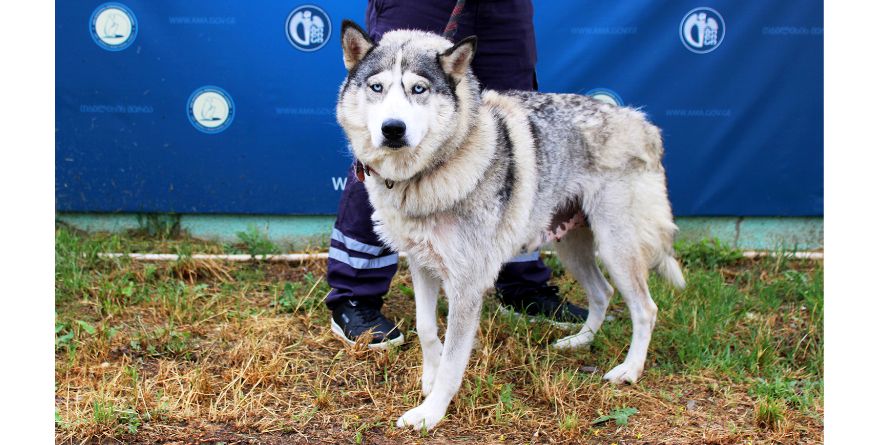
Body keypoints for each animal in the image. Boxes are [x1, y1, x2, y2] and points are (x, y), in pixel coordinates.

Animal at [334, 21, 688, 430]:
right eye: (377, 88)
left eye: (418, 90)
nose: (393, 129)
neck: (431, 172)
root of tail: (644, 124)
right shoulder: (422, 265)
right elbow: (425, 330)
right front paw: (429, 378)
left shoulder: (467, 288)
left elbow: (454, 360)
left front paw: (431, 412)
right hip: (573, 249)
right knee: (602, 293)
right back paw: (579, 342)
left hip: (616, 249)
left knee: (645, 309)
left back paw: (629, 371)